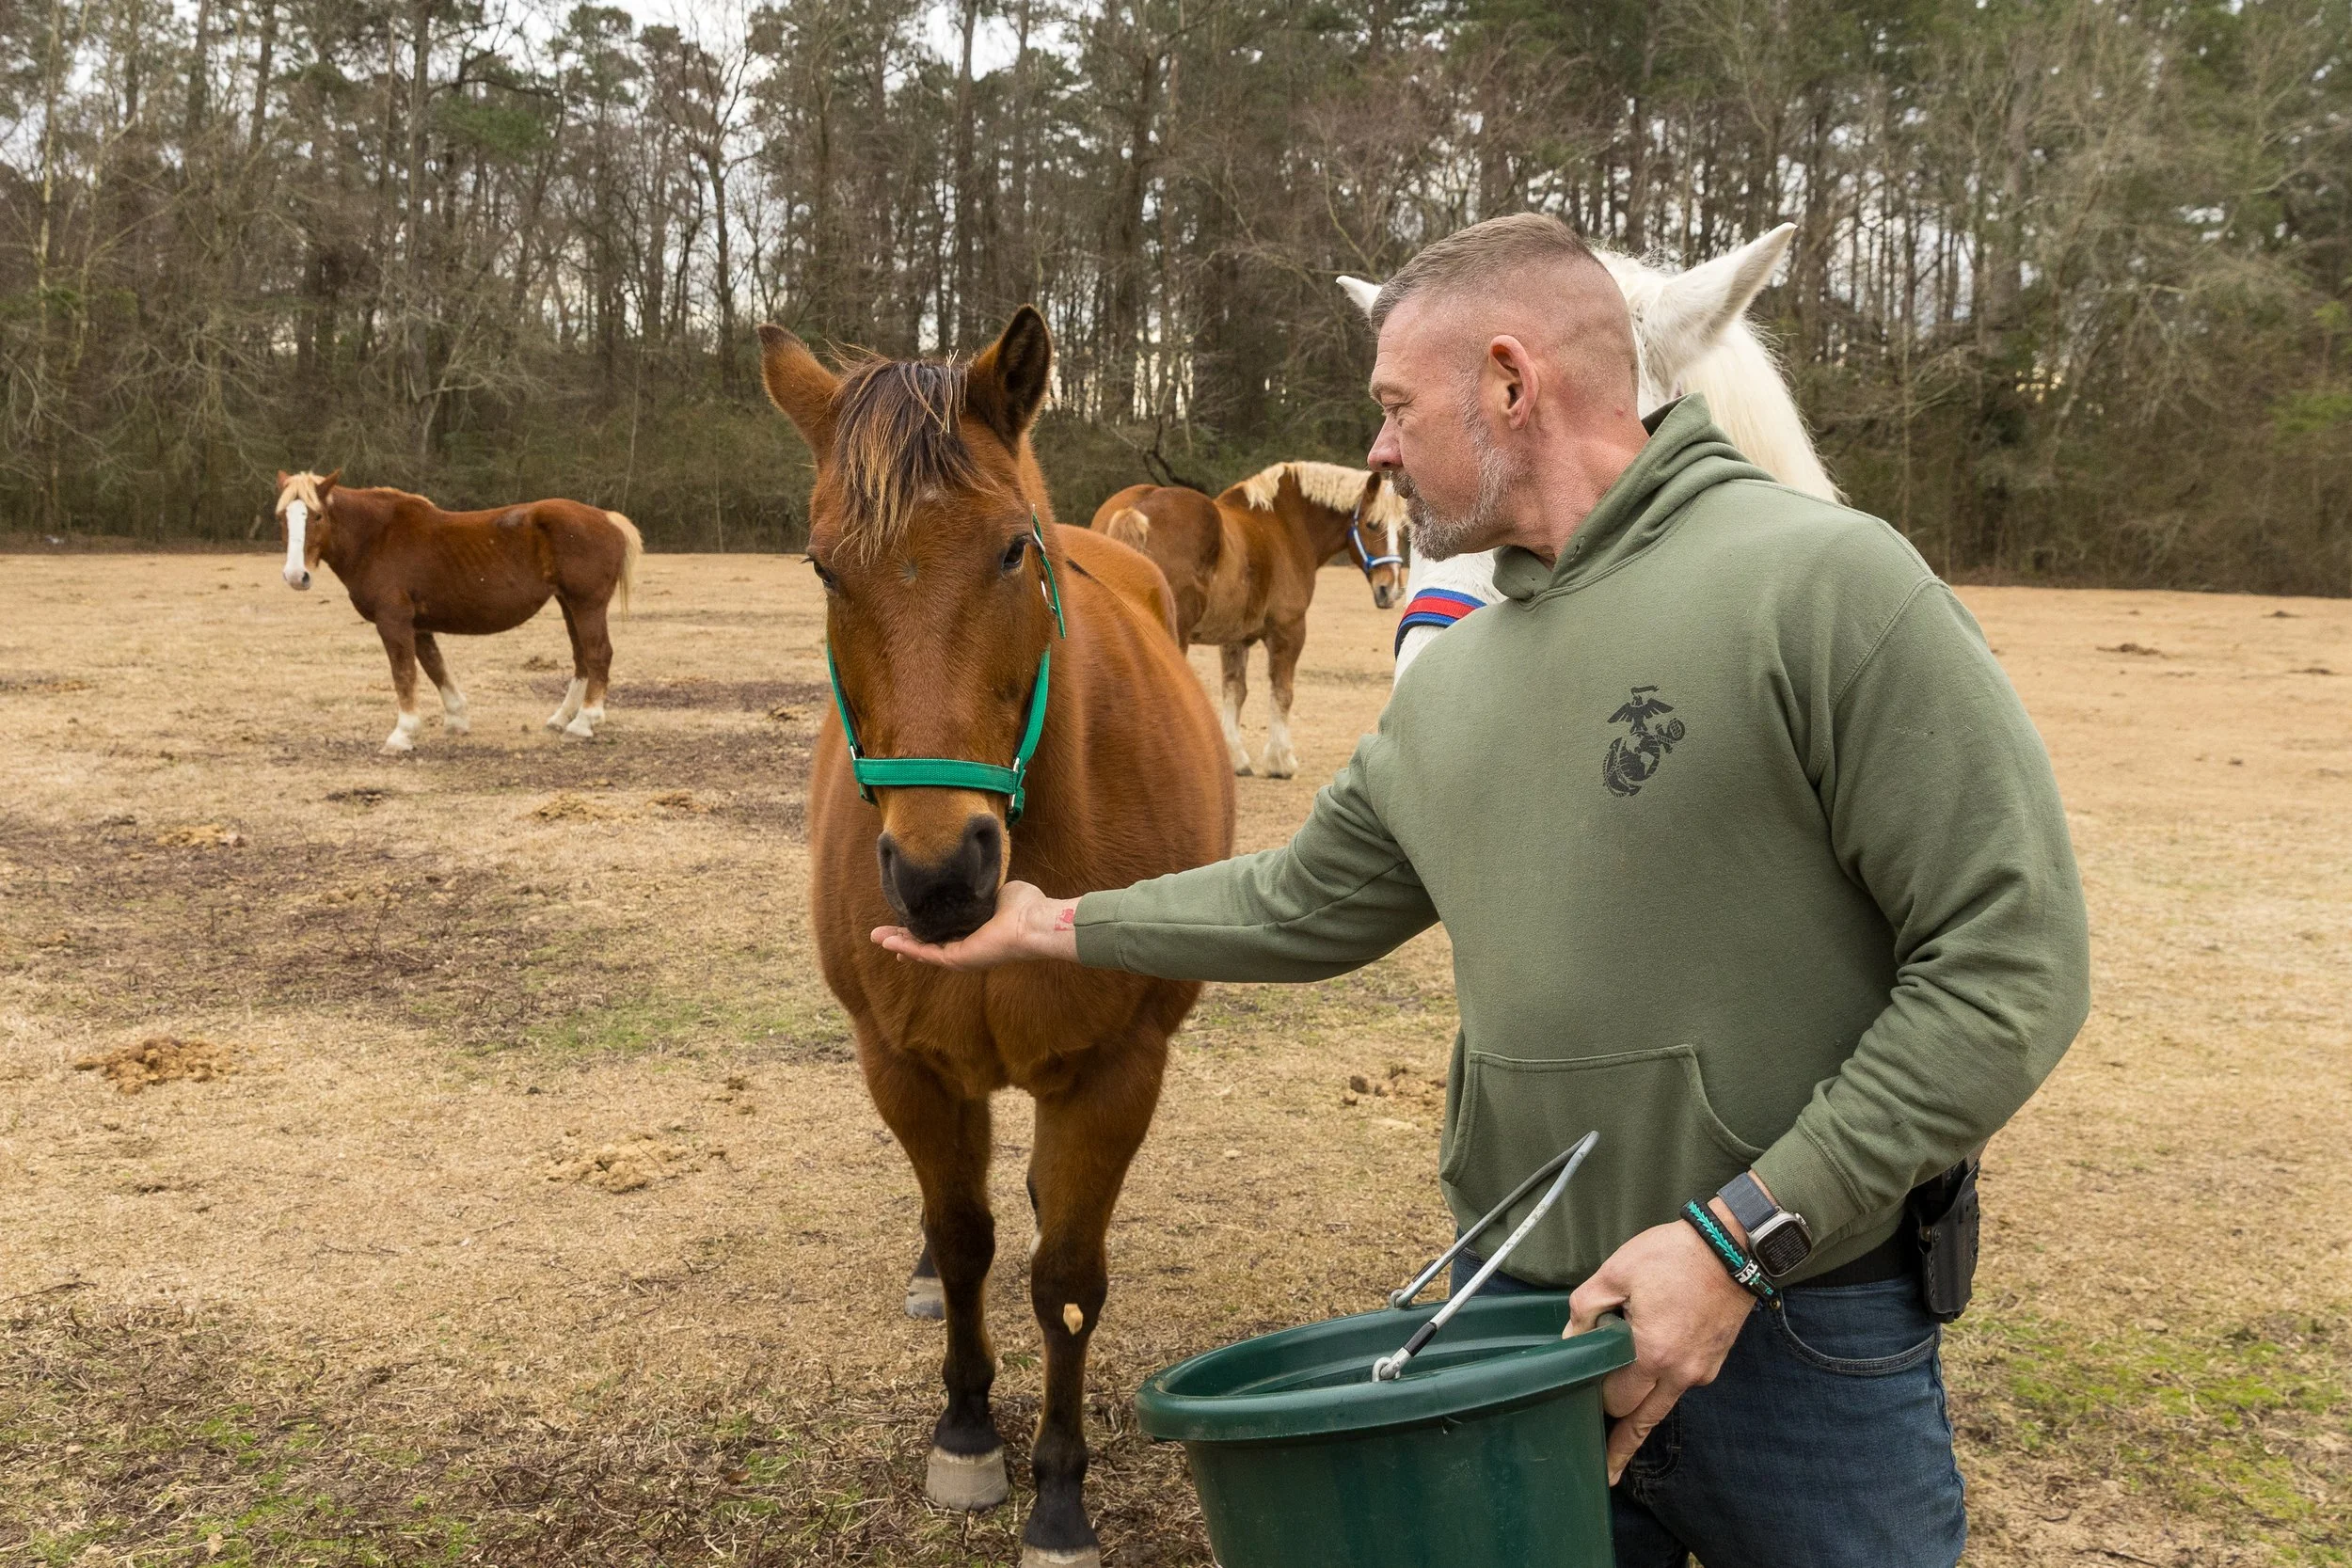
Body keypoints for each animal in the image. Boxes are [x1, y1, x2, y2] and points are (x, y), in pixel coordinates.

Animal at [272, 471, 642, 752]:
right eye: (282, 518)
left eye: (316, 516)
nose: (295, 575)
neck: (377, 537)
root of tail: (607, 518)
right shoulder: (418, 625)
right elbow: (435, 667)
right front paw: (457, 719)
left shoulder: (394, 621)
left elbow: (404, 673)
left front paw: (402, 734)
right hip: (569, 604)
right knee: (582, 658)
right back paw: (563, 718)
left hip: (587, 604)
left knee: (598, 654)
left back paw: (584, 722)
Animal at [757, 307, 1232, 1568]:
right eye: (824, 566)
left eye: (1015, 552)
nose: (939, 873)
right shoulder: (903, 1064)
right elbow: (963, 1236)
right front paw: (966, 1427)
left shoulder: (1117, 1070)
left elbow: (1063, 1277)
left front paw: (1060, 1496)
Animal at [1088, 461, 1407, 777]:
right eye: (1372, 524)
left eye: (1402, 530)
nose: (1390, 589)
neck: (1285, 524)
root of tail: (1135, 509)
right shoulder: (1288, 631)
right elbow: (1282, 692)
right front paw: (1281, 761)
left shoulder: (1235, 639)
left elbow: (1234, 691)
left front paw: (1235, 757)